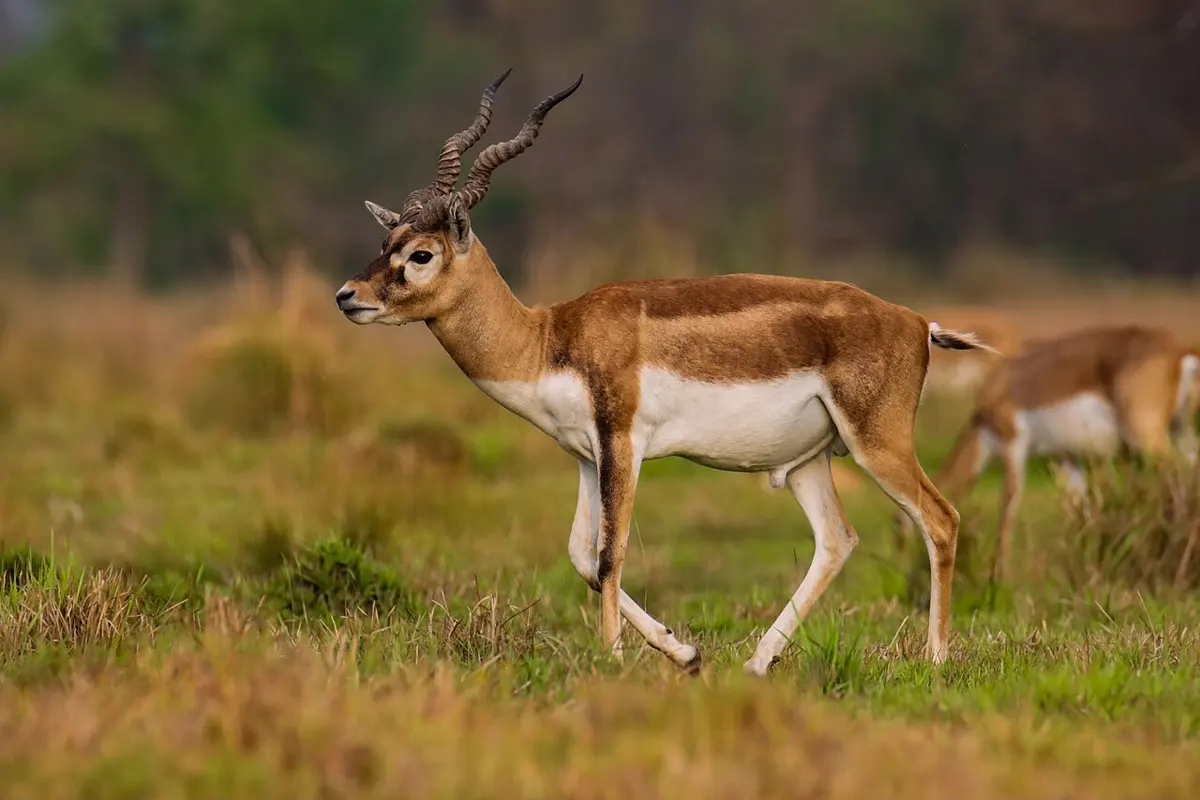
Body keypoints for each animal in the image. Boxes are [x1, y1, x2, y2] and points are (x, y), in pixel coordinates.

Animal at [334, 71, 995, 675]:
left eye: (421, 254)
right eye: (388, 240)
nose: (347, 296)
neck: (549, 337)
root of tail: (916, 321)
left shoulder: (624, 442)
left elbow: (611, 553)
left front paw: (612, 660)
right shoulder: (587, 454)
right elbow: (583, 556)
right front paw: (685, 652)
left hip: (877, 442)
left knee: (941, 519)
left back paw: (935, 660)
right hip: (808, 461)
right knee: (838, 538)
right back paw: (758, 661)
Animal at [927, 324, 1200, 582]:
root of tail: (1182, 350)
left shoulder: (1013, 444)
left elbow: (1007, 508)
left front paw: (997, 578)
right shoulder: (1065, 457)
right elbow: (1080, 511)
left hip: (1147, 436)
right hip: (1181, 433)